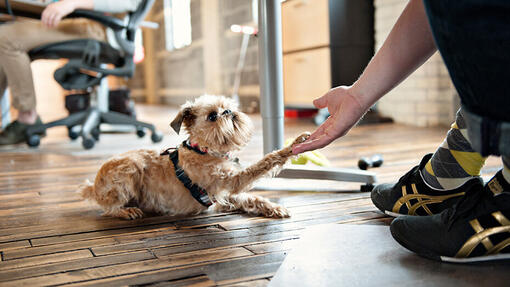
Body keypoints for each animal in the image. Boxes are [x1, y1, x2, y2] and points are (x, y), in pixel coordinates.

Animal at [78, 96, 310, 220]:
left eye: (228, 106)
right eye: (213, 116)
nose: (228, 111)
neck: (205, 150)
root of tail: (94, 188)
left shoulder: (224, 194)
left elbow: (252, 198)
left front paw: (274, 208)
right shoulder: (232, 181)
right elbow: (265, 162)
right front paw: (293, 146)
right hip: (131, 168)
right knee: (108, 209)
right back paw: (126, 211)